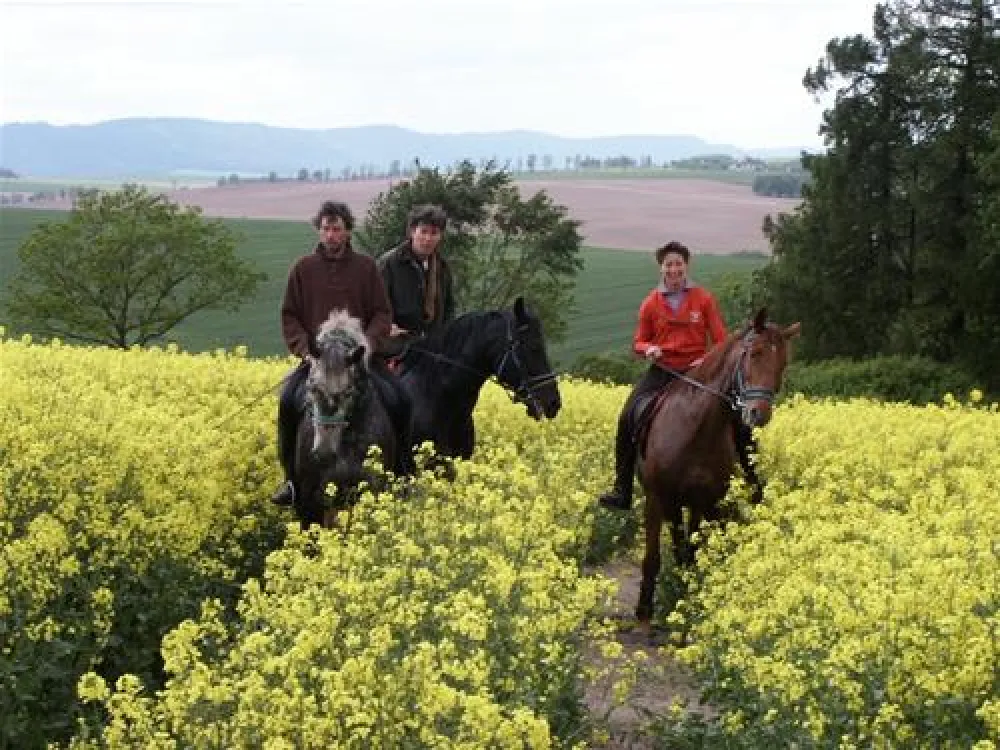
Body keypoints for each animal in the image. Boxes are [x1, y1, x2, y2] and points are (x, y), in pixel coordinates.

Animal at [634, 307, 801, 625]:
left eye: (783, 363)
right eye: (755, 353)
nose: (759, 414)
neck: (696, 428)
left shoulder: (711, 502)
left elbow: (698, 551)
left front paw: (694, 602)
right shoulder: (665, 498)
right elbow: (671, 552)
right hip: (659, 500)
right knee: (658, 549)